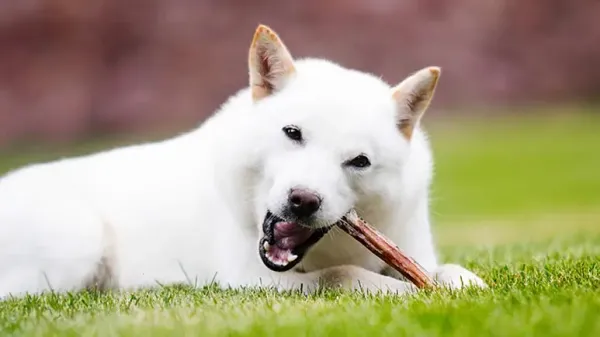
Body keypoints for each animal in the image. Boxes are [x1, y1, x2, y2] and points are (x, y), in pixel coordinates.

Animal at [0, 24, 488, 296]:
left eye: (359, 161)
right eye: (292, 133)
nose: (302, 200)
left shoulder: (414, 251)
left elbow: (451, 274)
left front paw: (466, 289)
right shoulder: (250, 280)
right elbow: (346, 275)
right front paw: (403, 292)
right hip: (78, 242)